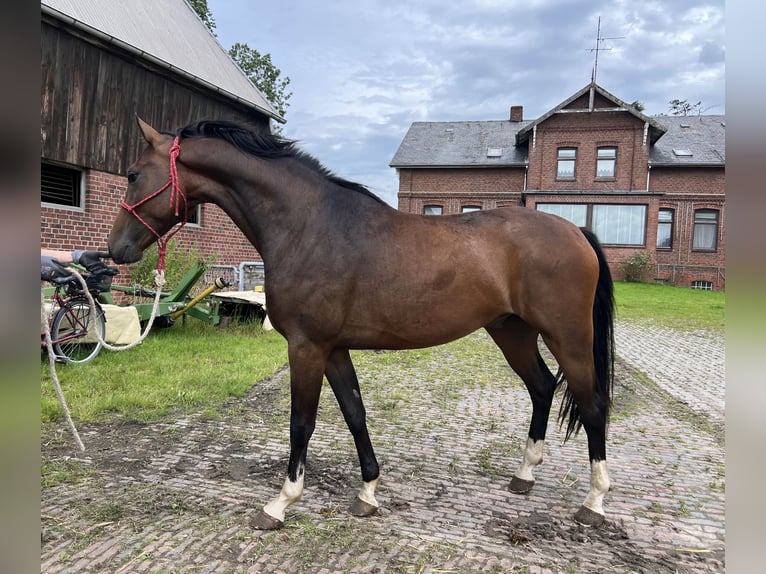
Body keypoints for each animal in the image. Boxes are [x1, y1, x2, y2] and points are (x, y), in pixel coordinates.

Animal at [108, 119, 616, 532]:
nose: (116, 250)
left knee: (592, 405)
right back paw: (524, 475)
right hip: (512, 331)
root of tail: (576, 231)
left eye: (133, 174)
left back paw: (594, 502)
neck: (309, 227)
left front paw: (280, 503)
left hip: (568, 336)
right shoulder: (333, 348)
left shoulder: (306, 347)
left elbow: (301, 422)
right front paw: (368, 492)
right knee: (543, 387)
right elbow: (354, 413)